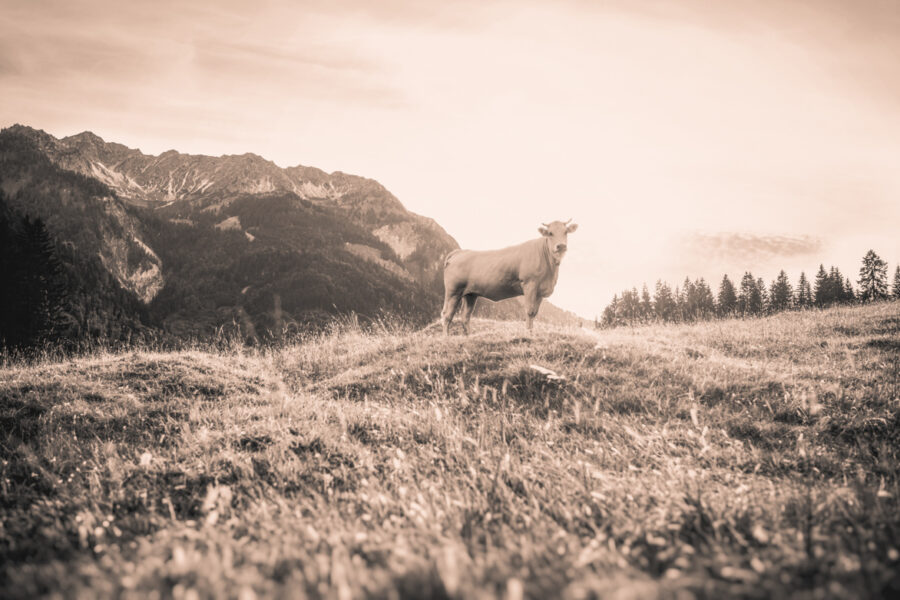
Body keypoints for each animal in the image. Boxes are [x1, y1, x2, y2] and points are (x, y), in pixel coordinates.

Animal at [442, 220, 580, 336]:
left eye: (566, 232)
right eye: (550, 233)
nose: (561, 246)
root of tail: (459, 252)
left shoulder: (540, 290)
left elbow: (535, 313)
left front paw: (531, 332)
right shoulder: (530, 284)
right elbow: (530, 311)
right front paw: (528, 334)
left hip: (470, 294)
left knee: (465, 317)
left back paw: (469, 336)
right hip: (453, 291)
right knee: (447, 315)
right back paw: (446, 337)